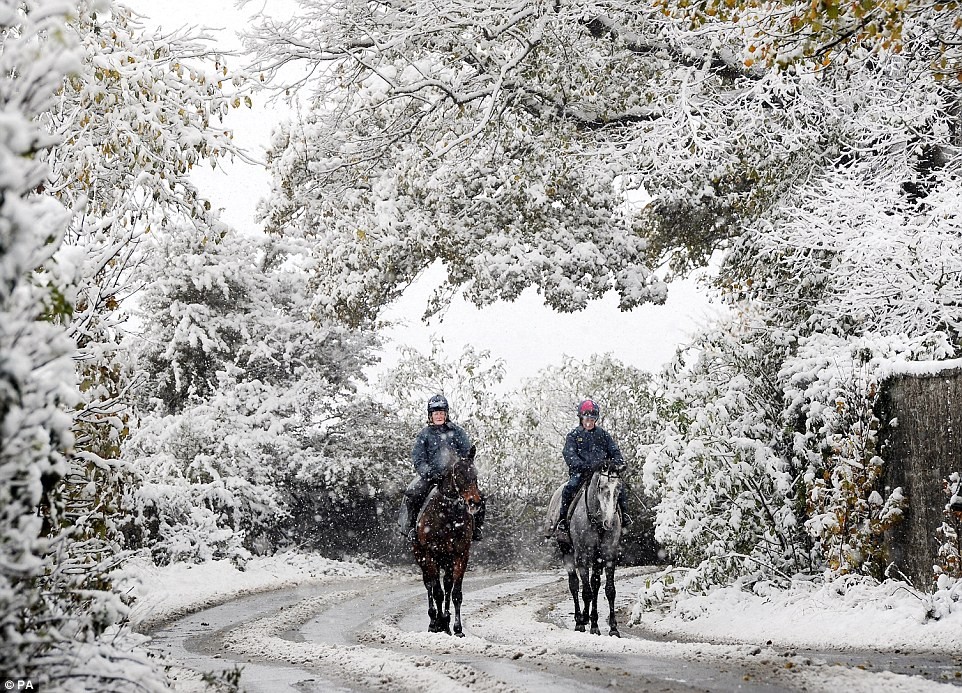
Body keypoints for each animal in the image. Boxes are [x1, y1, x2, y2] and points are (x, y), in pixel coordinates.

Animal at [408, 446, 480, 636]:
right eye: (460, 474)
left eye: (475, 473)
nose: (474, 502)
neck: (447, 514)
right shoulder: (431, 554)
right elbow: (437, 592)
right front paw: (438, 625)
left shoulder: (461, 554)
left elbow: (456, 593)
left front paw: (456, 628)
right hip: (421, 555)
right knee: (429, 585)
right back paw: (434, 621)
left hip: (446, 560)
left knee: (447, 585)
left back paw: (445, 621)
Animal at [548, 462, 624, 636]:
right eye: (602, 487)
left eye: (618, 488)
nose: (609, 523)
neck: (597, 521)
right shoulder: (582, 557)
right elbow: (586, 592)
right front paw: (585, 624)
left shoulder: (608, 556)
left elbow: (609, 590)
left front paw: (612, 628)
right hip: (567, 552)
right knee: (574, 585)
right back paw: (580, 619)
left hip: (596, 559)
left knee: (594, 585)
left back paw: (587, 617)